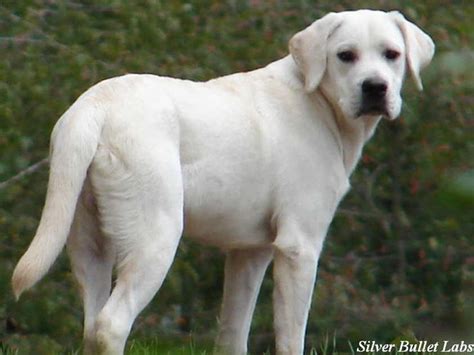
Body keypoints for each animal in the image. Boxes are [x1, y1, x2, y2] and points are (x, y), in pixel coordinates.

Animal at [12, 9, 434, 355]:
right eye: (346, 56)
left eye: (392, 55)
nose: (375, 87)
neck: (319, 102)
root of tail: (94, 105)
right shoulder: (299, 248)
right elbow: (291, 337)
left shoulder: (249, 253)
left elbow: (232, 333)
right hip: (156, 239)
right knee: (111, 324)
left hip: (87, 245)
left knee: (90, 324)